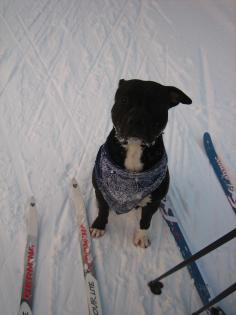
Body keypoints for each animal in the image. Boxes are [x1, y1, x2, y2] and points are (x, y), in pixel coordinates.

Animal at [89, 79, 191, 249]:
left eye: (156, 104)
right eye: (124, 100)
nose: (137, 120)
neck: (134, 148)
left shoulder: (153, 202)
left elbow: (146, 219)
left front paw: (142, 236)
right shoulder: (101, 190)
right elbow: (103, 209)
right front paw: (99, 226)